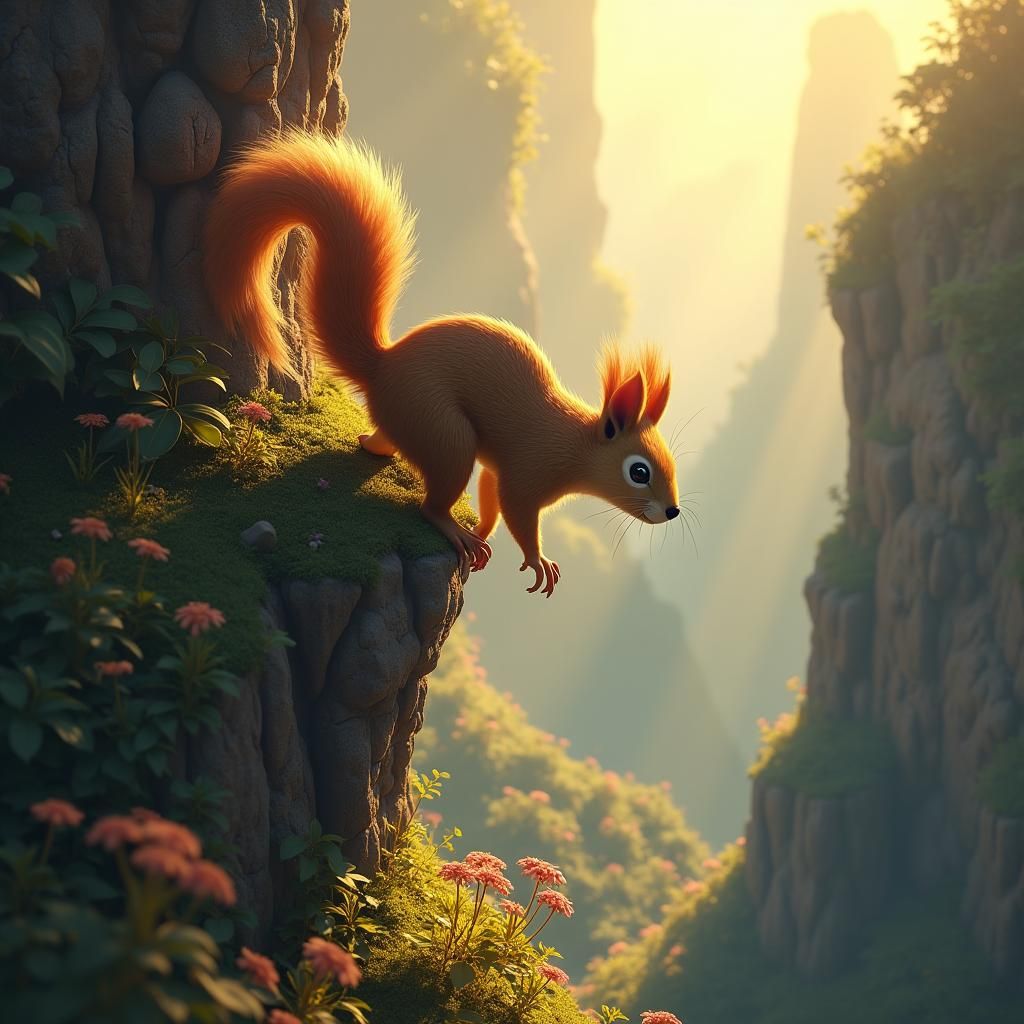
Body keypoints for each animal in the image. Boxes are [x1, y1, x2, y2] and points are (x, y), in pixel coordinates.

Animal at [203, 130, 680, 597]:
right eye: (638, 471)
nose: (673, 511)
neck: (574, 442)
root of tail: (383, 368)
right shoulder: (527, 471)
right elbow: (517, 511)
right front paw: (535, 559)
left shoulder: (497, 470)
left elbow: (490, 495)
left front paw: (485, 530)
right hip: (443, 432)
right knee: (430, 505)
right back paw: (455, 531)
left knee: (384, 442)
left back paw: (374, 446)